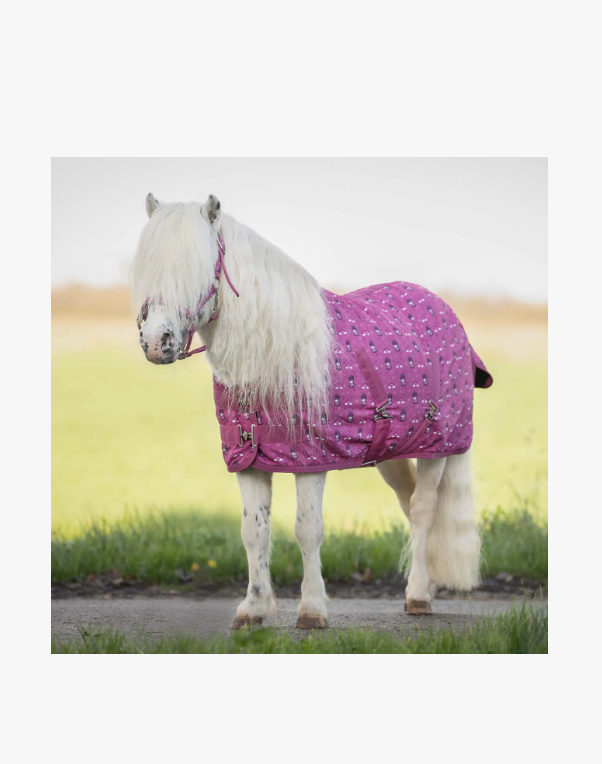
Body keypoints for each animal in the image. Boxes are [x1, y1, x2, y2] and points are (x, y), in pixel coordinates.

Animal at [130, 192, 493, 629]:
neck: (271, 355)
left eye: (198, 268)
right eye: (147, 267)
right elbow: (253, 531)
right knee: (410, 505)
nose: (156, 342)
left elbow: (307, 528)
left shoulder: (312, 459)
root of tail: (445, 309)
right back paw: (428, 587)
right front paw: (253, 608)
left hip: (437, 447)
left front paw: (312, 609)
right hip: (393, 451)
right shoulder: (249, 458)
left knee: (423, 510)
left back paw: (419, 596)